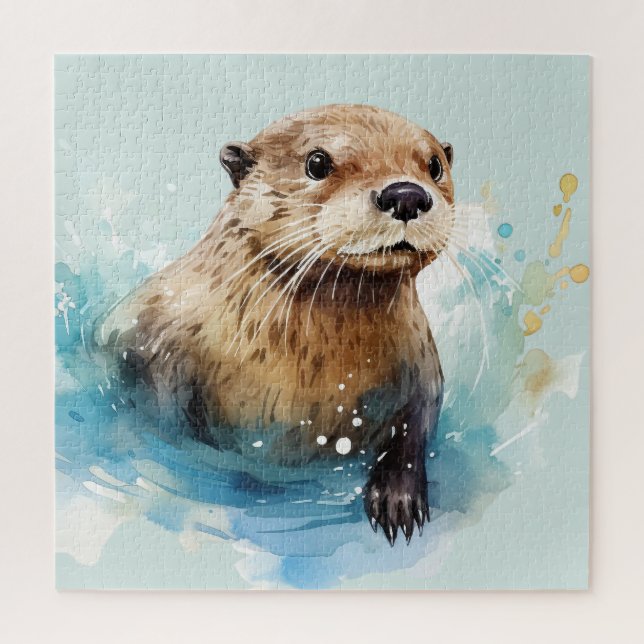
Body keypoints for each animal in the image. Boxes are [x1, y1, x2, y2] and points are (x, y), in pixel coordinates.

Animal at [96, 104, 455, 545]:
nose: (406, 194)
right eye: (317, 162)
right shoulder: (155, 357)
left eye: (434, 165)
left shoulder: (422, 366)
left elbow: (415, 427)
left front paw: (398, 499)